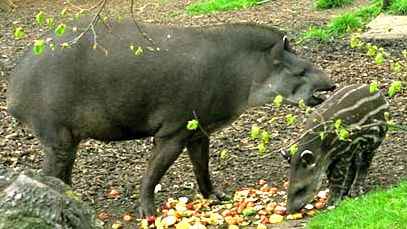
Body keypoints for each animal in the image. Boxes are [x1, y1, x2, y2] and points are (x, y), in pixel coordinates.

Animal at [282, 84, 390, 213]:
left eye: (302, 189)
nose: (289, 210)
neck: (320, 146)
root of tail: (378, 92)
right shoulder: (328, 159)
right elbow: (331, 176)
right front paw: (338, 194)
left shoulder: (343, 153)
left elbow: (337, 177)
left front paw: (332, 202)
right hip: (355, 147)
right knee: (353, 165)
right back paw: (346, 189)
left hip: (375, 140)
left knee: (364, 164)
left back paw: (355, 190)